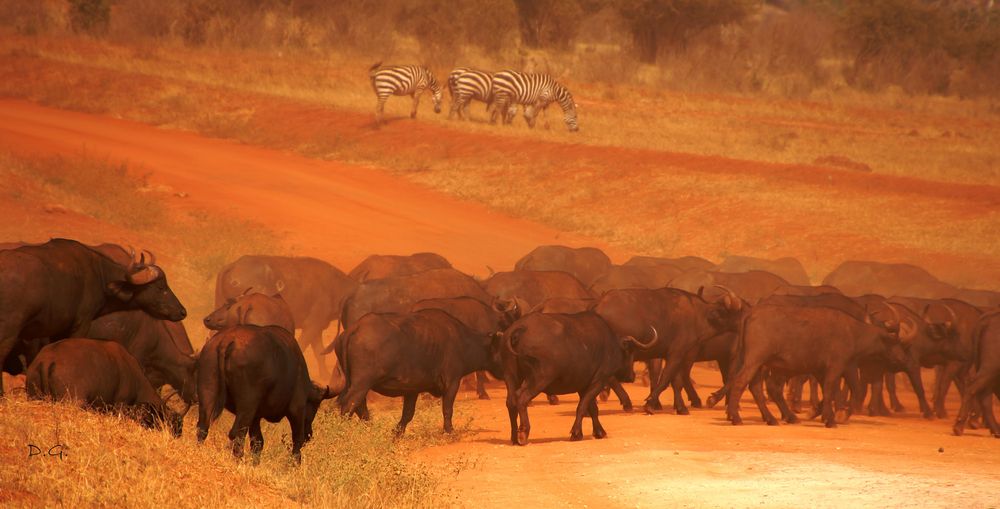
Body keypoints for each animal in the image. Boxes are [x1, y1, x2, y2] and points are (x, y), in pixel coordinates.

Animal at [197, 326, 334, 460]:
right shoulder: (297, 409)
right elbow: (297, 441)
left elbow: (257, 442)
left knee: (203, 427)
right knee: (237, 433)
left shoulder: (255, 417)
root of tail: (226, 341)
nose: (309, 435)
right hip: (247, 406)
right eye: (315, 407)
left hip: (208, 392)